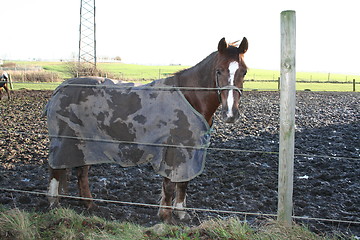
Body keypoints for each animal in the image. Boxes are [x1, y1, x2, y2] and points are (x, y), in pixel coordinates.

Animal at [44, 37, 248, 223]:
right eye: (218, 70)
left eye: (244, 71)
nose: (231, 113)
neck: (190, 97)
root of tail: (60, 88)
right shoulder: (173, 150)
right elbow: (170, 185)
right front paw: (166, 216)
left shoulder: (189, 151)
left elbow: (183, 183)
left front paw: (181, 213)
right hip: (65, 141)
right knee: (55, 169)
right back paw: (54, 204)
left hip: (85, 145)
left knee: (81, 174)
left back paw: (90, 205)